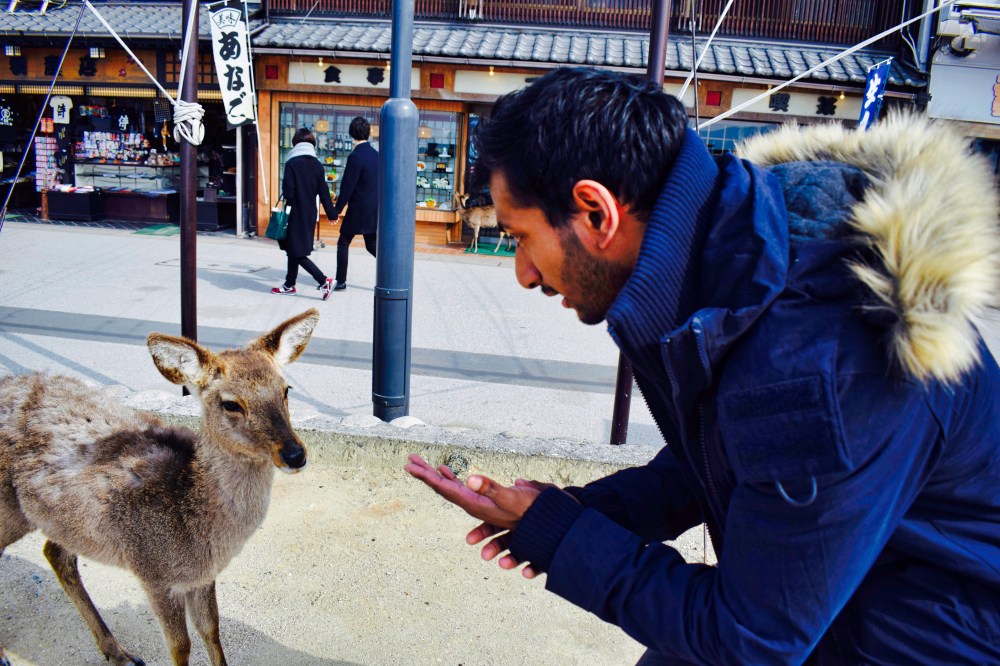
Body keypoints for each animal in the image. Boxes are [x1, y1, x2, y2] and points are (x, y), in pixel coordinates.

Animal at [0, 308, 320, 666]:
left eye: (286, 389)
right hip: (9, 510)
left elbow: (211, 630)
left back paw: (119, 653)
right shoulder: (153, 573)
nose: (294, 454)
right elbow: (180, 646)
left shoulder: (201, 576)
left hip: (66, 522)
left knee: (55, 553)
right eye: (231, 403)